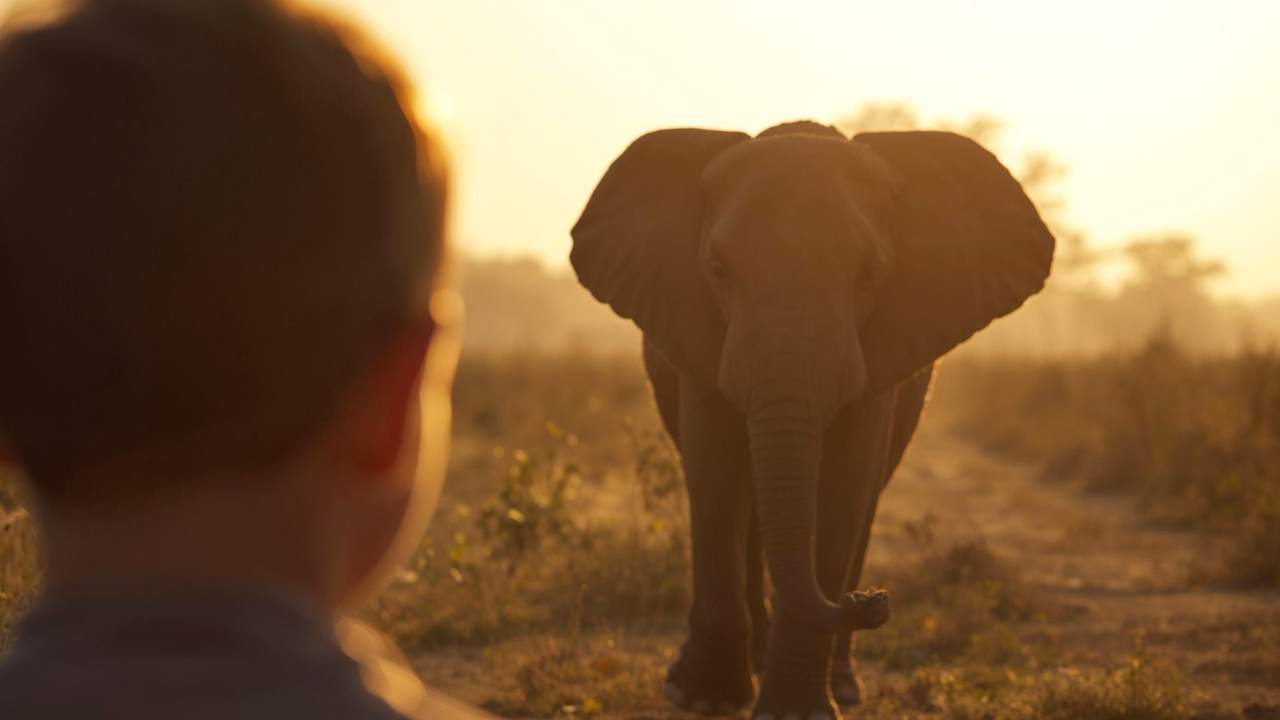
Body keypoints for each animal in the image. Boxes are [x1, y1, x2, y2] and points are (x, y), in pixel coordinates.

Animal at [570, 120, 1054, 720]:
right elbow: (716, 471)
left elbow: (844, 484)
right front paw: (701, 697)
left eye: (869, 275)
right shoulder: (695, 324)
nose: (873, 600)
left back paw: (840, 683)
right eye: (717, 270)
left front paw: (795, 711)